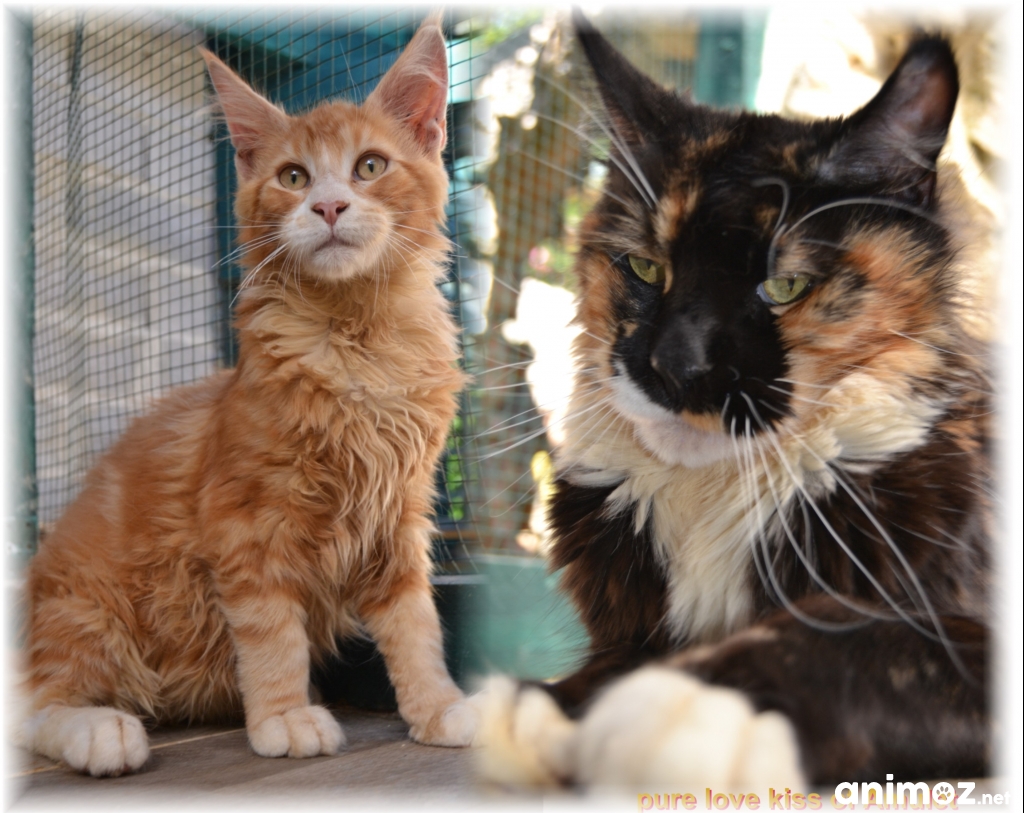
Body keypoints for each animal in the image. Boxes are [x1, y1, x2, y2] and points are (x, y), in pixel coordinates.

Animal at [19, 18, 477, 777]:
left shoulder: (398, 520)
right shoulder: (245, 525)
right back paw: (101, 733)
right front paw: (284, 713)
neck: (356, 344)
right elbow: (272, 635)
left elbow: (417, 626)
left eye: (369, 167)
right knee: (34, 699)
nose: (328, 206)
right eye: (293, 177)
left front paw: (437, 706)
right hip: (87, 613)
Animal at [476, 12, 991, 790]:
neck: (710, 505)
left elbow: (859, 642)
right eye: (646, 268)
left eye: (784, 286)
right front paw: (546, 708)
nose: (675, 365)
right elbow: (606, 668)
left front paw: (689, 714)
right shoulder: (630, 633)